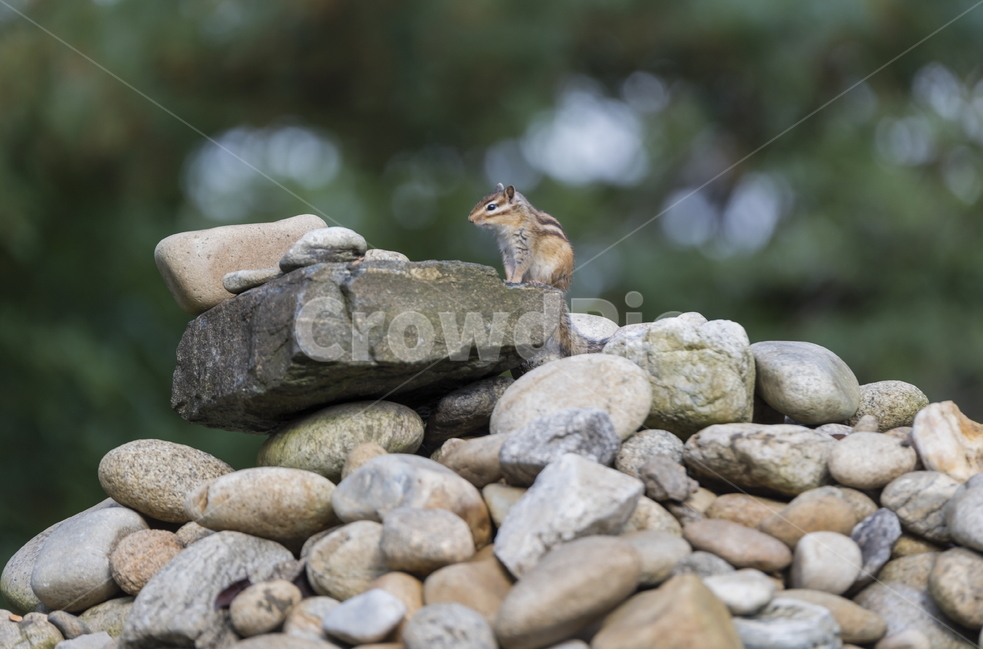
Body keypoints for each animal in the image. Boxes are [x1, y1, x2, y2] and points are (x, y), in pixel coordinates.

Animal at [468, 183, 606, 356]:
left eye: (491, 207)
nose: (470, 219)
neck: (509, 226)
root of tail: (563, 289)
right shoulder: (507, 251)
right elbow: (510, 267)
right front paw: (508, 279)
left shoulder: (525, 246)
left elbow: (520, 267)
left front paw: (515, 281)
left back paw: (537, 282)